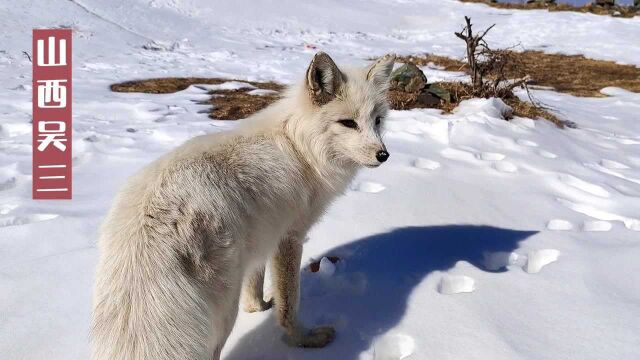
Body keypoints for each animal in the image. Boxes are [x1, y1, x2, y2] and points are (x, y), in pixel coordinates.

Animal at [90, 52, 396, 360]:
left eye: (377, 121)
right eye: (348, 123)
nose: (384, 155)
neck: (301, 148)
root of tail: (151, 215)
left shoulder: (262, 236)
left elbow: (255, 286)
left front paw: (258, 308)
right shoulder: (289, 239)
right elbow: (289, 305)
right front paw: (303, 339)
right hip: (223, 313)